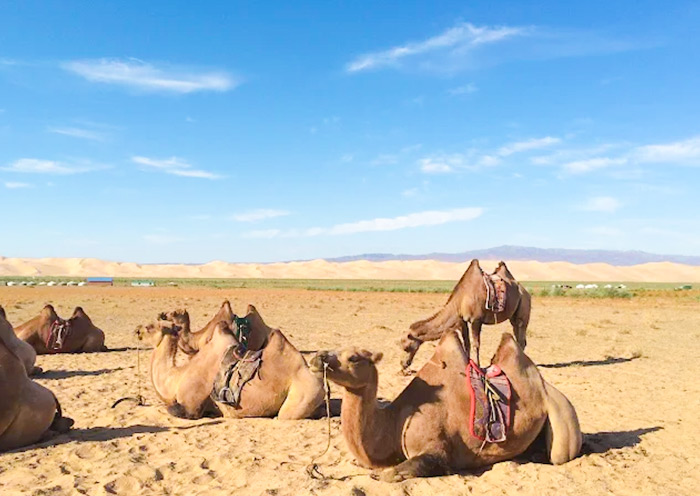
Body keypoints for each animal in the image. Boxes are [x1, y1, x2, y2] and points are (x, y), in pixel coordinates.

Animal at [311, 331, 581, 481]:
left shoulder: (436, 449)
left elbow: (391, 475)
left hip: (564, 416)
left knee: (559, 455)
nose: (317, 357)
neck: (395, 423)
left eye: (353, 357)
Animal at [401, 259, 530, 369]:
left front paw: (478, 367)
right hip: (513, 317)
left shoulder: (476, 320)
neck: (459, 301)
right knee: (518, 337)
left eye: (406, 348)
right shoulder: (462, 320)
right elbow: (466, 344)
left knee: (521, 337)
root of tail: (525, 291)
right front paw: (467, 365)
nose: (403, 364)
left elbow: (476, 344)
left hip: (523, 307)